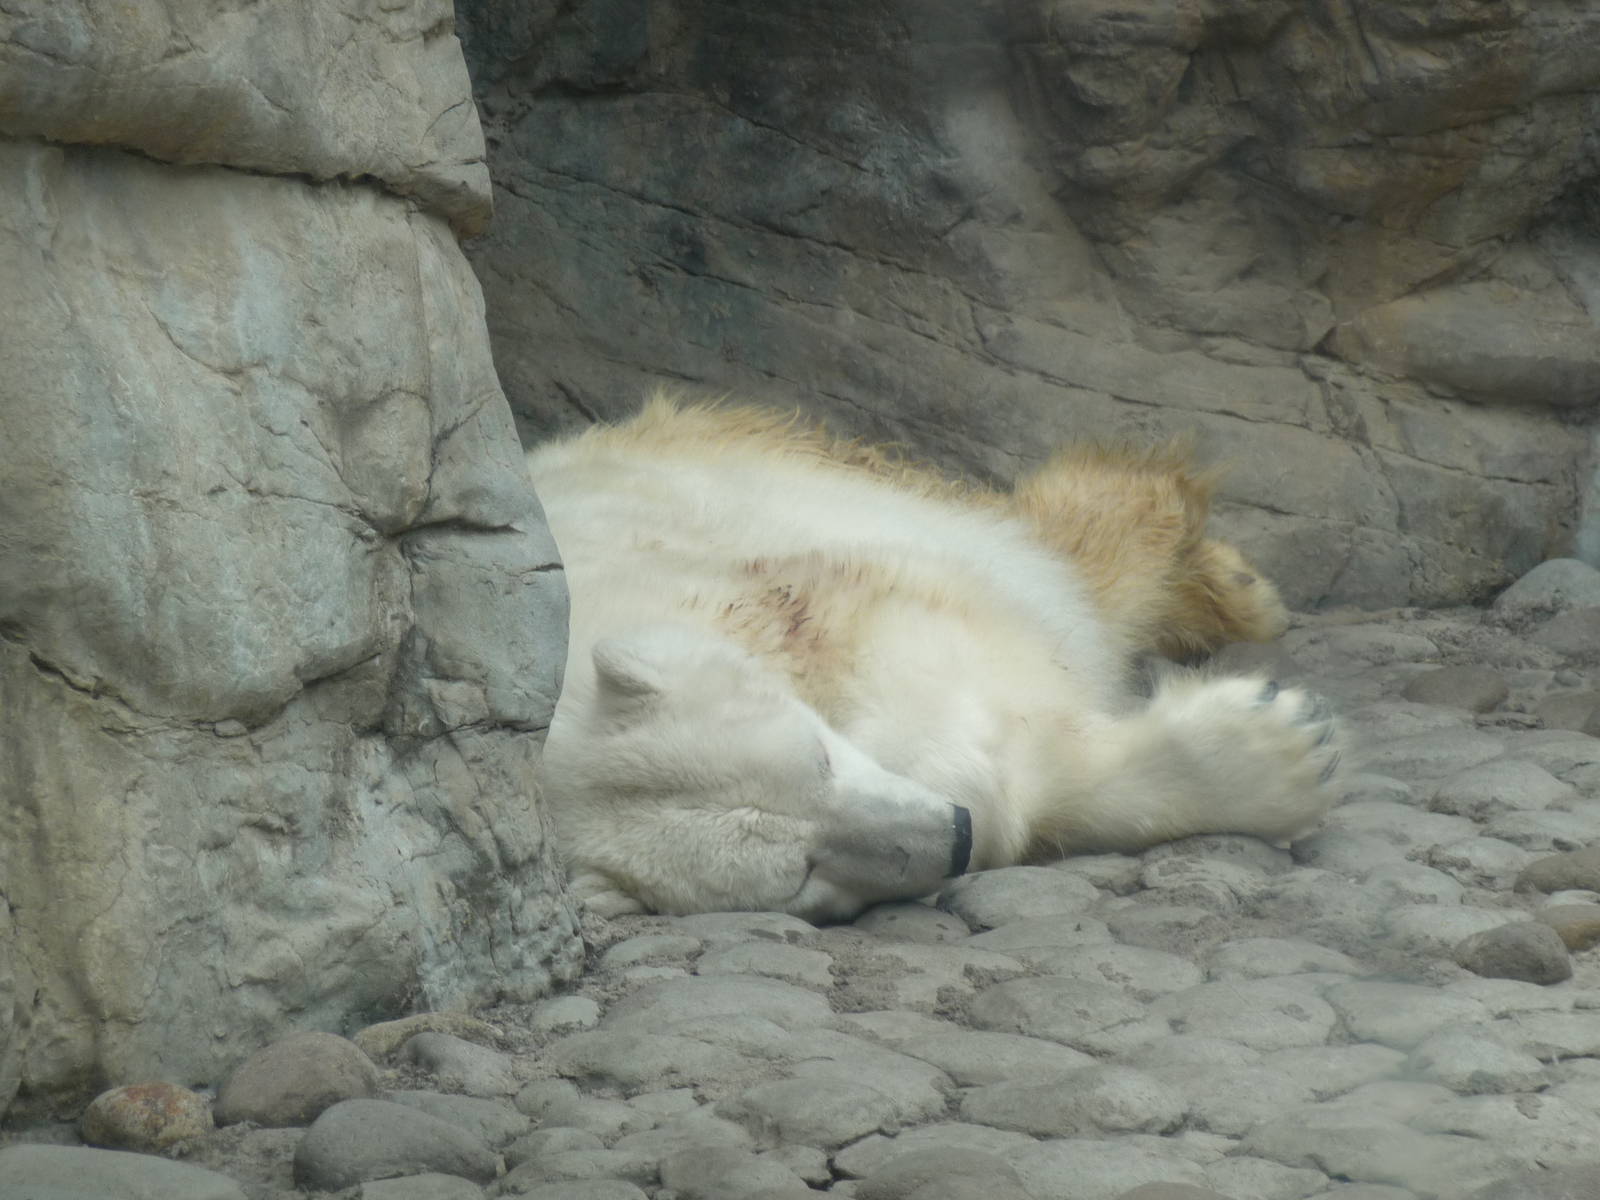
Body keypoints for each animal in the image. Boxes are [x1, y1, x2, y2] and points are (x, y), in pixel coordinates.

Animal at [526, 394, 1340, 920]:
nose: (955, 836)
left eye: (820, 756)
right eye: (799, 877)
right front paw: (1275, 749)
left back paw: (1227, 577)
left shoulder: (767, 587)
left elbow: (928, 652)